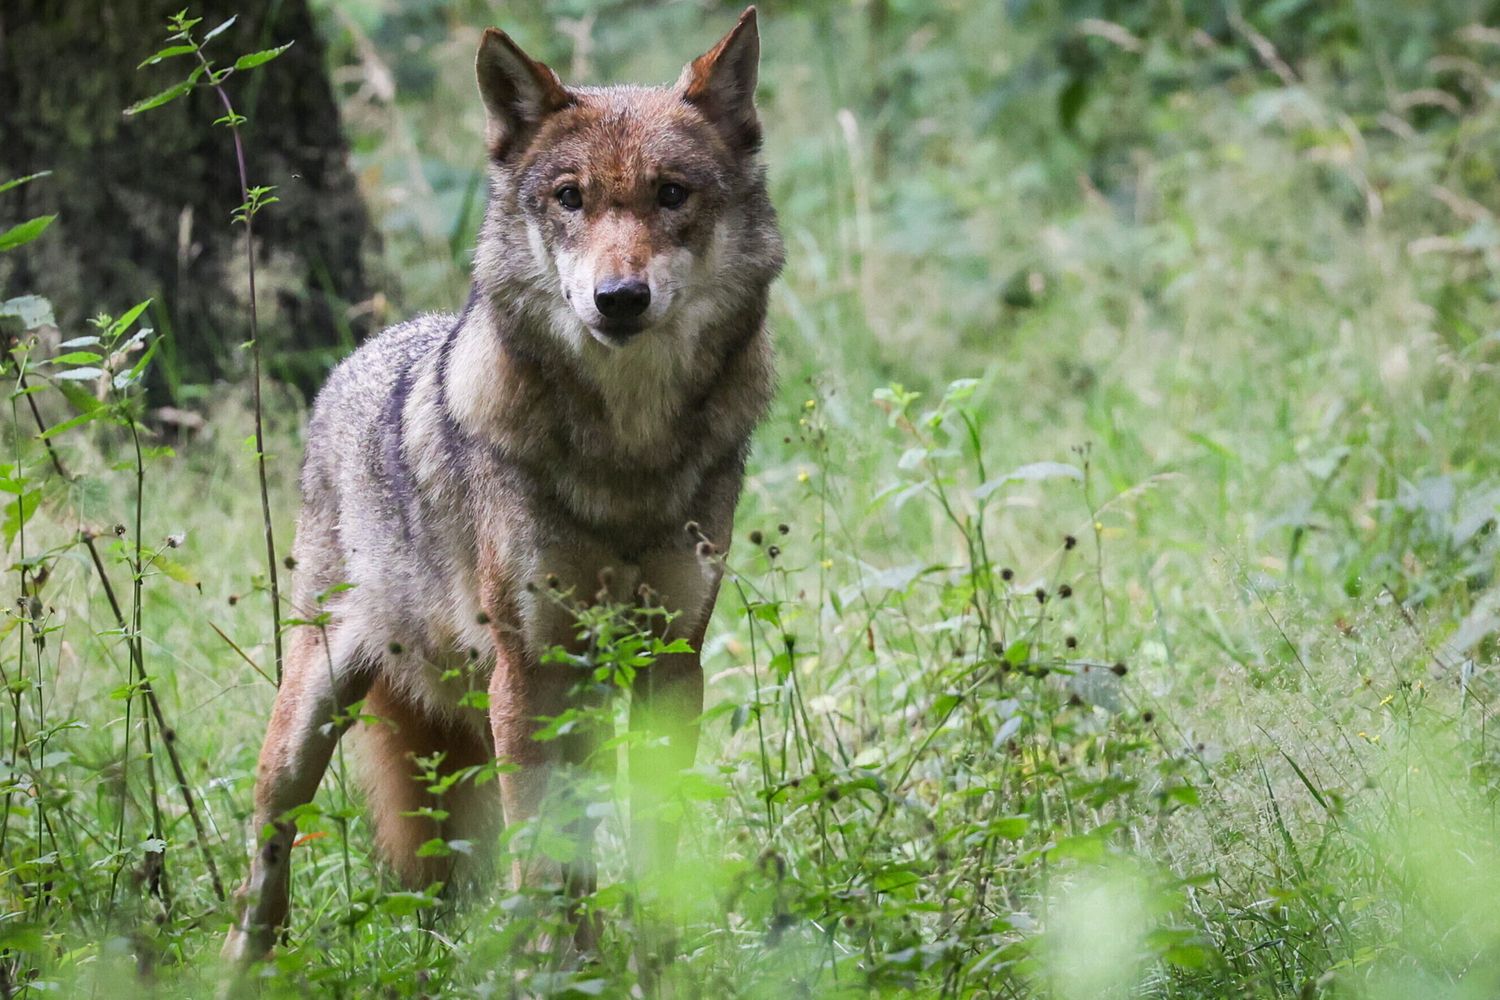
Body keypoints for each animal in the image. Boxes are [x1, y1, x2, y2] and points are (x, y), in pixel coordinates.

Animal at [223, 7, 782, 962]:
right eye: (570, 198)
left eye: (672, 194)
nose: (619, 298)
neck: (627, 453)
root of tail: (357, 359)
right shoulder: (528, 670)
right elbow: (541, 853)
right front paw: (552, 968)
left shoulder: (672, 661)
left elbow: (654, 837)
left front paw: (657, 958)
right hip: (310, 718)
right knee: (266, 853)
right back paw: (242, 964)